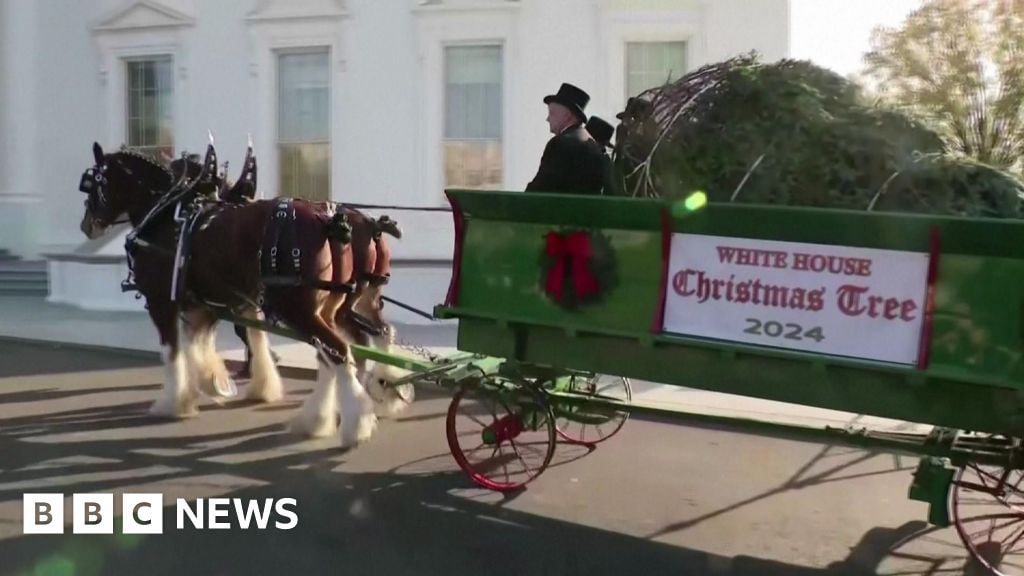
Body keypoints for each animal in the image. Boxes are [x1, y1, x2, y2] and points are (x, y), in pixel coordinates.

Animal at [75, 141, 395, 446]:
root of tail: (330, 220)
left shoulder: (161, 300)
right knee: (354, 345)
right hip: (332, 307)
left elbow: (173, 351)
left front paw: (174, 401)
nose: (86, 224)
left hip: (299, 308)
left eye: (94, 182)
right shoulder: (209, 302)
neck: (167, 214)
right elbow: (212, 342)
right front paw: (217, 382)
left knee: (339, 351)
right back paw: (325, 415)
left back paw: (354, 424)